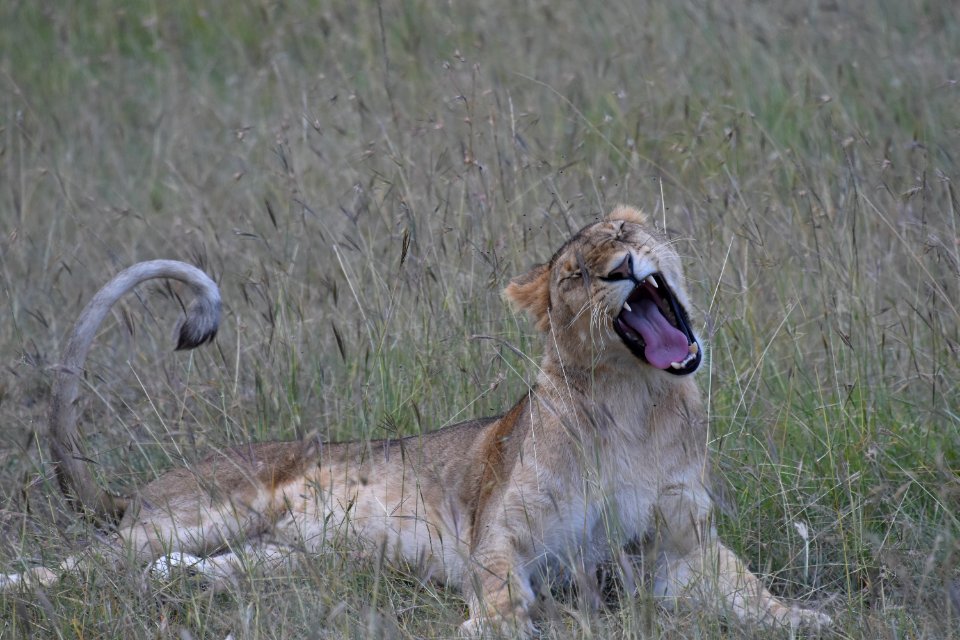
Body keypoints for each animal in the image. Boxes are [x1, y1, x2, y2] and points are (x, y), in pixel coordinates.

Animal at [0, 206, 828, 636]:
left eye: (626, 238)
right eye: (576, 275)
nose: (625, 269)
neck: (637, 404)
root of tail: (143, 491)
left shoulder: (681, 548)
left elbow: (749, 592)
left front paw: (805, 617)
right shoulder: (498, 528)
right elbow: (501, 584)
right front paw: (495, 625)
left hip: (283, 557)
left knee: (192, 568)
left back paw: (178, 581)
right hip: (199, 512)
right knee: (81, 564)